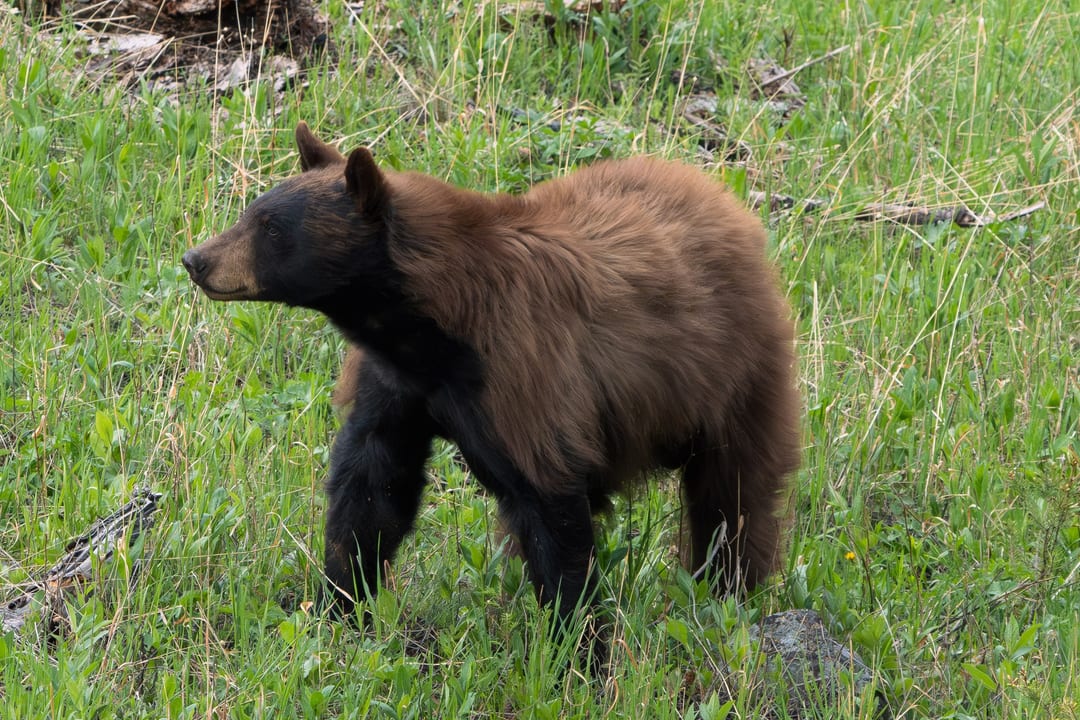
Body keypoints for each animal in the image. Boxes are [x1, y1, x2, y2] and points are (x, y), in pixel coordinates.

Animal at [182, 122, 801, 650]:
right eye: (251, 211)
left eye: (271, 228)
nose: (196, 259)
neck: (434, 327)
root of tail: (724, 199)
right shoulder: (395, 383)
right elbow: (372, 488)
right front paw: (339, 607)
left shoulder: (524, 373)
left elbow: (550, 505)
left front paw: (576, 650)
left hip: (735, 374)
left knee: (731, 496)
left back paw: (728, 590)